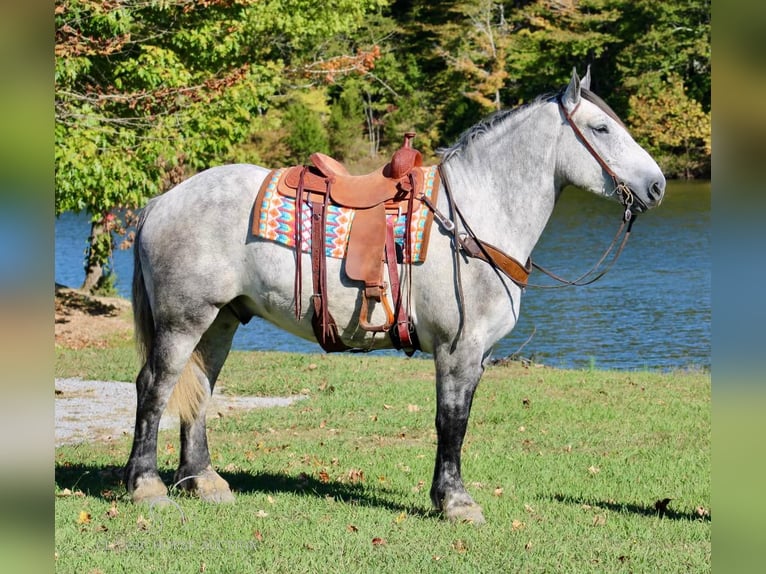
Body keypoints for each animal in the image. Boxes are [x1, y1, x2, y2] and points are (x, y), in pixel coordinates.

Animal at [126, 70, 664, 524]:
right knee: (154, 386)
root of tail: (161, 201)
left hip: (219, 321)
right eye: (601, 129)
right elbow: (452, 420)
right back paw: (146, 485)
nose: (657, 186)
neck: (471, 217)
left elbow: (457, 420)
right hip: (182, 321)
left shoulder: (477, 355)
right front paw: (455, 502)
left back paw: (203, 481)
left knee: (199, 388)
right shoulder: (457, 349)